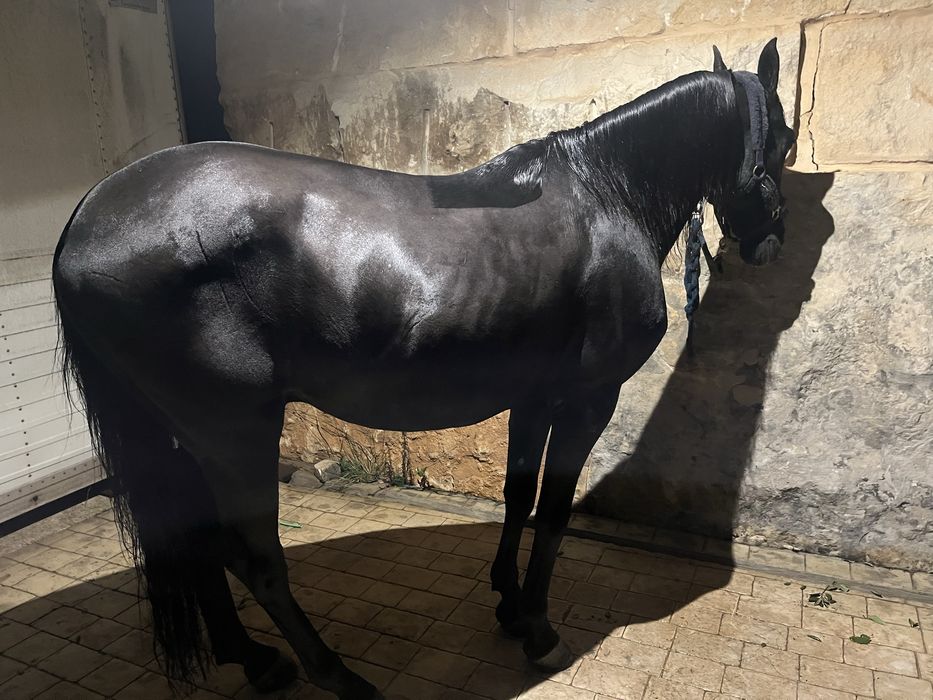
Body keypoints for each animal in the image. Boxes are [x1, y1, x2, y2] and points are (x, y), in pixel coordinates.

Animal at [52, 40, 794, 698]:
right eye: (784, 142)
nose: (770, 244)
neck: (605, 197)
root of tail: (86, 218)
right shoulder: (589, 398)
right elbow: (554, 512)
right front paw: (538, 630)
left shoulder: (534, 396)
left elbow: (517, 496)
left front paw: (506, 605)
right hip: (232, 431)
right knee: (255, 559)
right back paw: (338, 677)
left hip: (185, 436)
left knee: (197, 542)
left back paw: (255, 660)